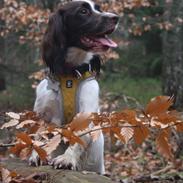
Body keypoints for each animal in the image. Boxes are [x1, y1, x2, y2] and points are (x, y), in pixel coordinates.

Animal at [29, 0, 118, 174]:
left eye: (99, 9)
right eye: (83, 11)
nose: (115, 17)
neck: (70, 75)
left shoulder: (85, 113)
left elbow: (78, 138)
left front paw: (67, 159)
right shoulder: (43, 114)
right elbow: (40, 135)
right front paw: (38, 156)